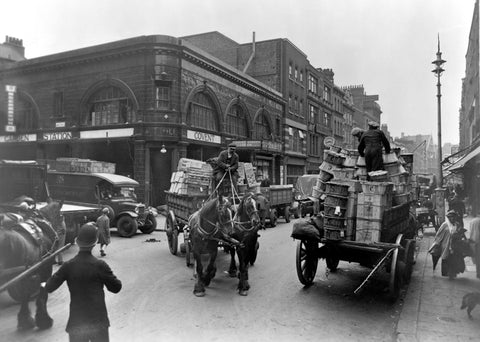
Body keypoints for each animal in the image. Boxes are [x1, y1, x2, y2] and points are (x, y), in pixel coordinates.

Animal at [0, 199, 63, 330]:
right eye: (61, 216)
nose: (63, 231)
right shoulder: (46, 266)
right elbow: (42, 293)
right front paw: (44, 320)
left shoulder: (25, 272)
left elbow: (25, 294)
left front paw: (25, 320)